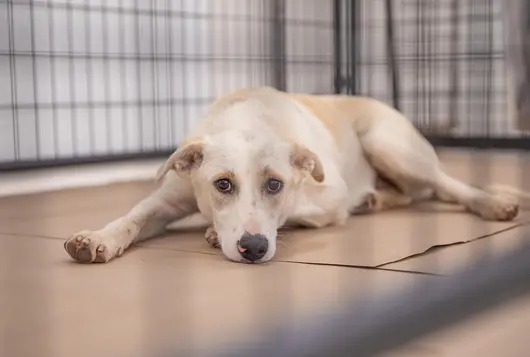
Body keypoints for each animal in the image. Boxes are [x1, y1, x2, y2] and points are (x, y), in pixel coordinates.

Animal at [63, 86, 528, 264]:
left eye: (275, 184)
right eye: (222, 184)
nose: (253, 248)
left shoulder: (329, 196)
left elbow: (295, 212)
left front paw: (214, 232)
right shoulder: (169, 197)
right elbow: (132, 217)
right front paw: (97, 239)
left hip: (387, 142)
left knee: (444, 184)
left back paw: (492, 203)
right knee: (411, 193)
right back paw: (377, 198)